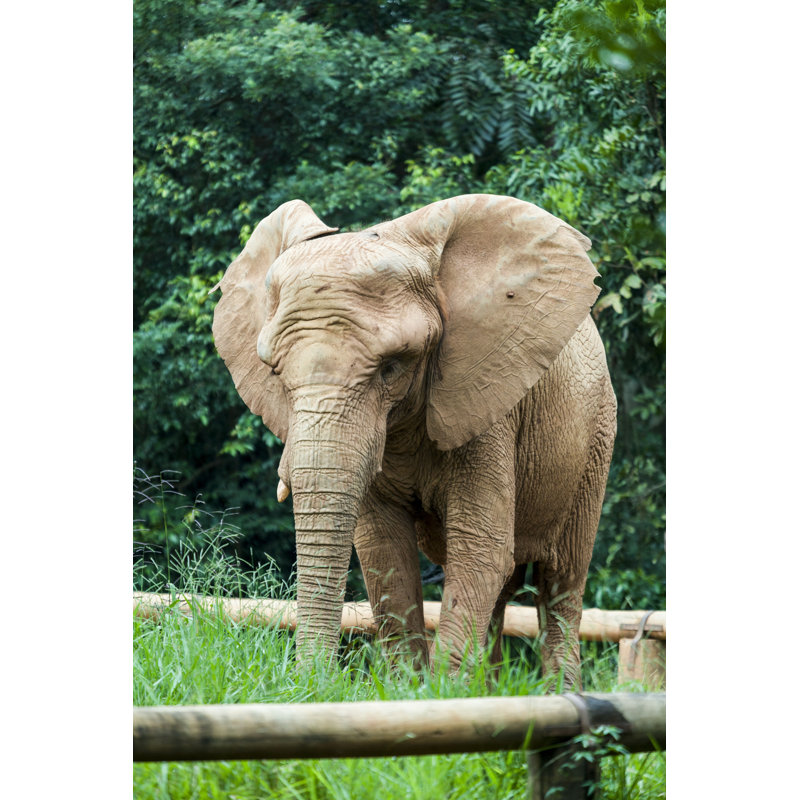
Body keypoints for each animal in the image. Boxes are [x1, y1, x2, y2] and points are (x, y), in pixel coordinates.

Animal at [211, 193, 616, 689]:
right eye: (274, 372)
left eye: (392, 367)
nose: (311, 681)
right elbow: (385, 550)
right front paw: (413, 690)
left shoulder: (485, 402)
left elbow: (480, 550)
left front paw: (440, 693)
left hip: (597, 436)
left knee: (560, 584)